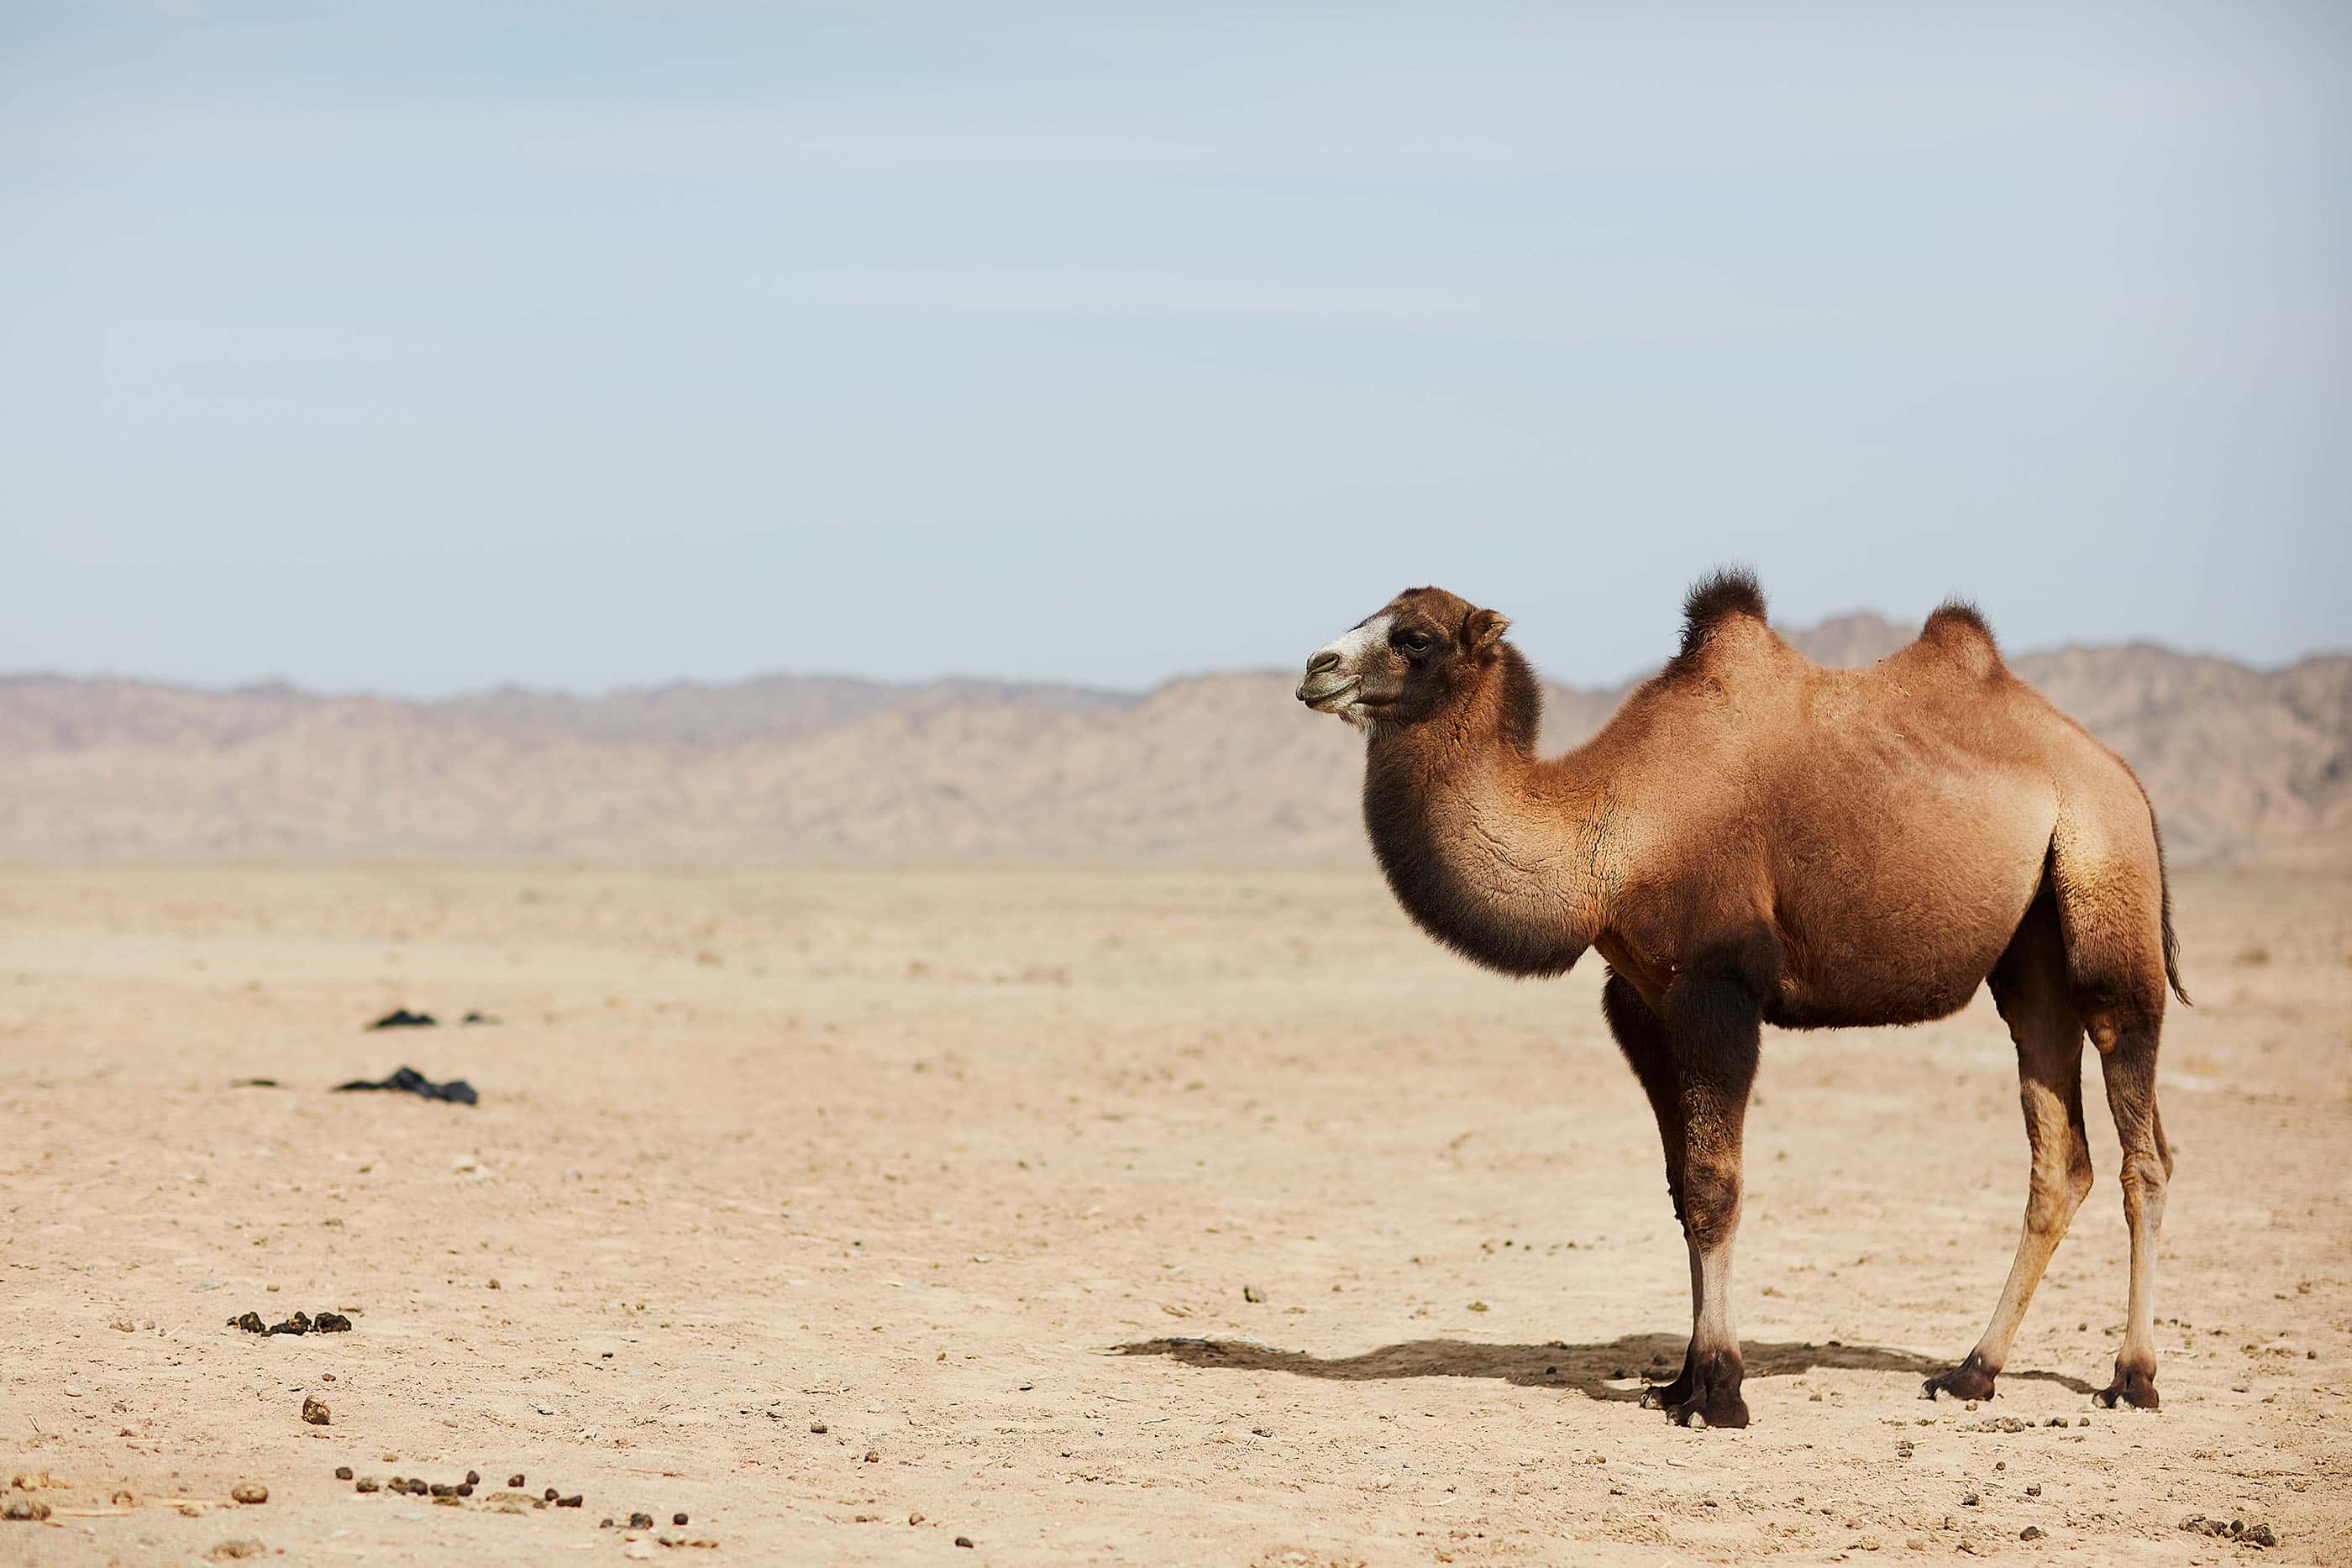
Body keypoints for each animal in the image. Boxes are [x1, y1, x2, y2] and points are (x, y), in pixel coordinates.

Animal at [1295, 572, 2185, 1429]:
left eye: (1415, 638)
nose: (1316, 667)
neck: (1609, 829)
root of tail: (2127, 779)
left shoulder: (1716, 986)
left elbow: (1716, 1186)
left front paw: (1720, 1392)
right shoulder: (1643, 1002)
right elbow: (1681, 1186)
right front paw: (1678, 1382)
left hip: (2107, 895)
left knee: (2142, 1143)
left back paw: (2131, 1379)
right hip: (2030, 954)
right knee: (2059, 1150)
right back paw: (1972, 1372)